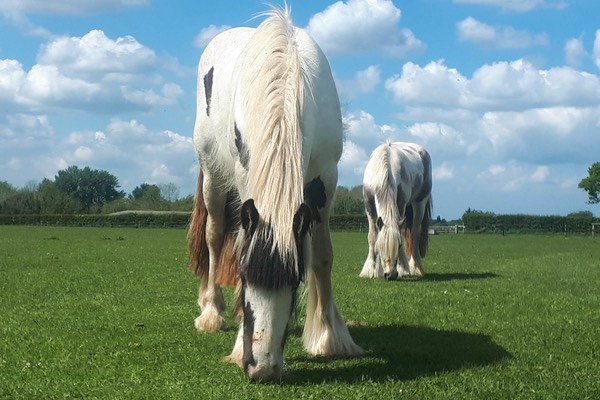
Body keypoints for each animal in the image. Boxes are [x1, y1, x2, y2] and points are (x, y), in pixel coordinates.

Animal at [188, 6, 364, 382]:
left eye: (295, 279)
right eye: (243, 274)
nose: (261, 369)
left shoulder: (325, 179)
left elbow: (322, 256)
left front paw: (331, 337)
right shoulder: (245, 181)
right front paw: (238, 340)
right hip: (213, 177)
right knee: (213, 236)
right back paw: (212, 311)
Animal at [360, 142, 432, 280]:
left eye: (399, 245)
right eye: (380, 247)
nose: (391, 275)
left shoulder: (401, 203)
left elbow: (402, 233)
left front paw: (403, 268)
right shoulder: (368, 203)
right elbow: (372, 236)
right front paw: (370, 270)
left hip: (420, 202)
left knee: (415, 233)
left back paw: (415, 267)